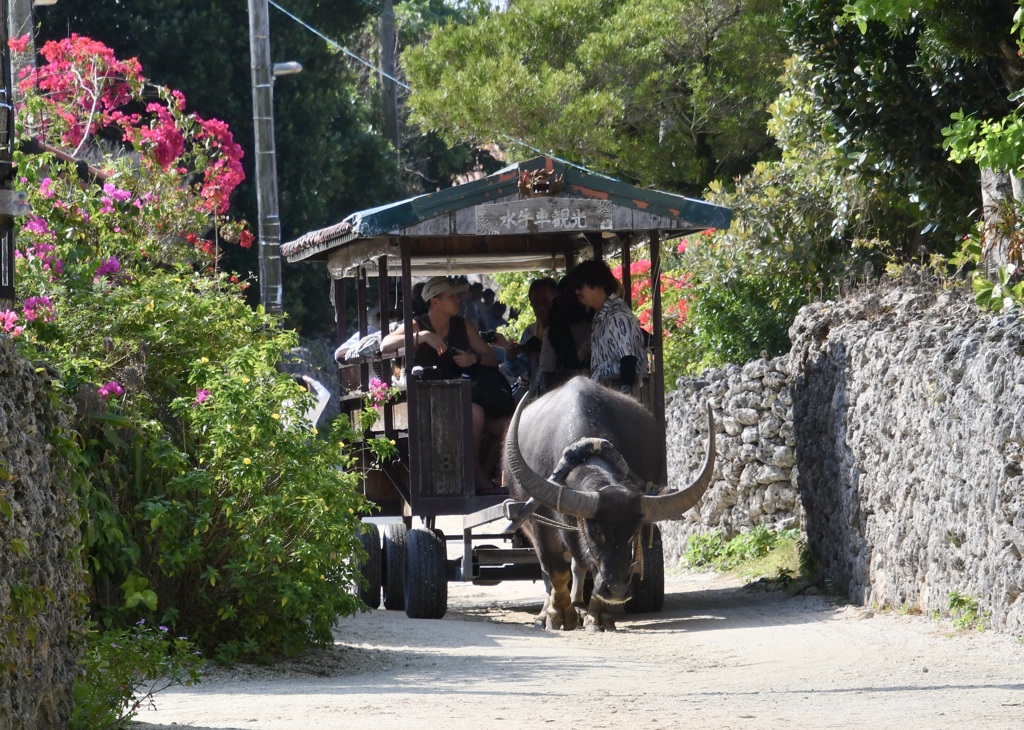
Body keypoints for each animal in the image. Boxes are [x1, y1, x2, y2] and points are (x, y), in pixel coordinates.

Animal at [501, 372, 712, 630]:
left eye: (632, 534)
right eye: (596, 531)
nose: (618, 591)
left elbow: (590, 569)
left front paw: (597, 615)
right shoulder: (541, 526)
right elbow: (555, 572)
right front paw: (559, 615)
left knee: (578, 565)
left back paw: (579, 605)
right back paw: (548, 612)